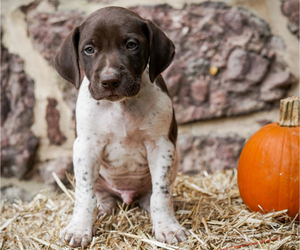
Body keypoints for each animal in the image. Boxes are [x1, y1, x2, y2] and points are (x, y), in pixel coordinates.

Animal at [54, 5, 190, 248]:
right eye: (89, 49)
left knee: (151, 196)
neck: (120, 105)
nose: (110, 81)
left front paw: (167, 227)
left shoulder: (161, 146)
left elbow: (161, 194)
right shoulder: (86, 148)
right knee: (100, 197)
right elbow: (84, 196)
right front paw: (79, 229)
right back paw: (101, 209)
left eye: (131, 45)